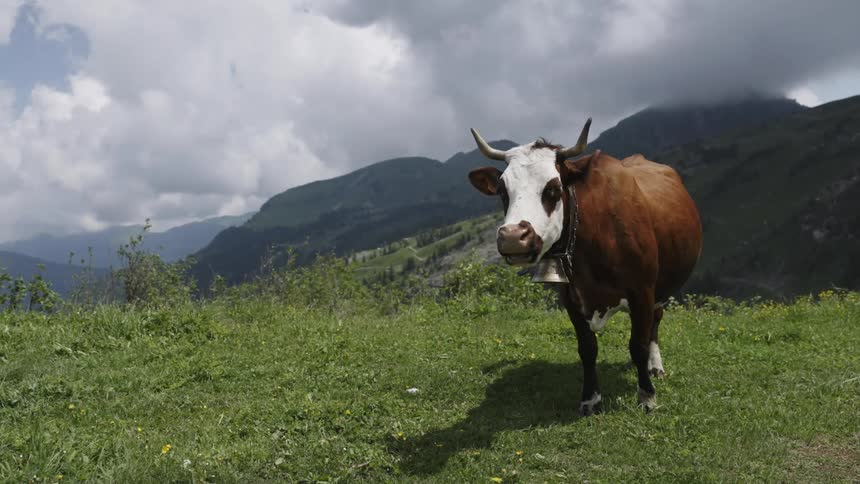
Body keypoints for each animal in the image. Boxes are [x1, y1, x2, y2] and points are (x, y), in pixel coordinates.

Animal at [467, 119, 703, 414]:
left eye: (553, 188)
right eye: (501, 191)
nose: (512, 237)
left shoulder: (643, 291)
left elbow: (637, 345)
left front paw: (647, 395)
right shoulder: (570, 297)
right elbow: (587, 348)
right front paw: (591, 398)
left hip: (662, 287)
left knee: (655, 323)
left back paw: (654, 366)